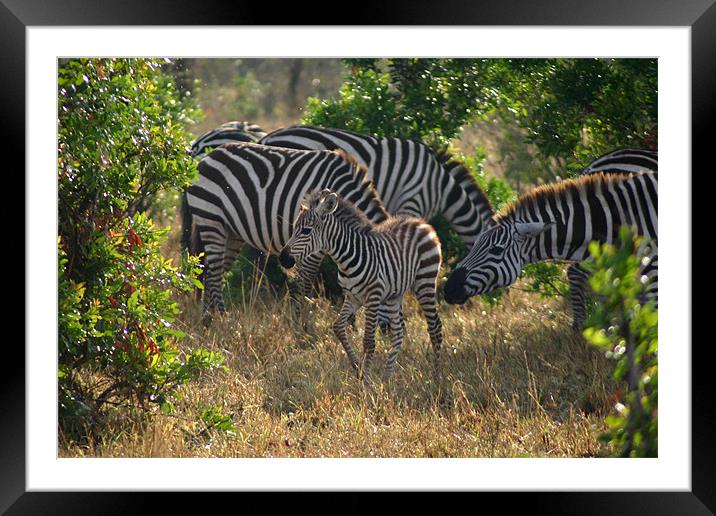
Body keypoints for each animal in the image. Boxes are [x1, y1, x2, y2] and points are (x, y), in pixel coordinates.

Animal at [182, 142, 388, 318]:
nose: (385, 333)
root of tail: (208, 156)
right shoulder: (313, 249)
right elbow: (305, 286)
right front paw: (302, 326)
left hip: (231, 232)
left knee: (210, 272)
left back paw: (207, 319)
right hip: (211, 219)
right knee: (215, 273)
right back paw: (222, 319)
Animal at [280, 189, 442, 378]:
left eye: (306, 231)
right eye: (294, 229)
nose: (283, 259)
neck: (347, 259)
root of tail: (420, 222)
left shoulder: (373, 297)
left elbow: (369, 341)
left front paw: (367, 379)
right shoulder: (352, 297)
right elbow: (338, 327)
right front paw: (358, 368)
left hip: (425, 280)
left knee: (435, 327)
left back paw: (437, 376)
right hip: (395, 294)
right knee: (398, 331)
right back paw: (387, 377)